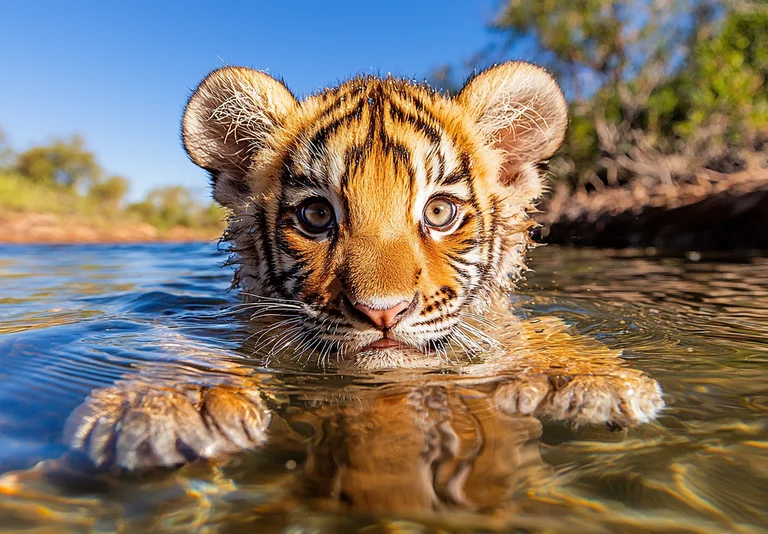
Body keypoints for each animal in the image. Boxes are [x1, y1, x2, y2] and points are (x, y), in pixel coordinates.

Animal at [63, 62, 664, 475]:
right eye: (316, 215)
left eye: (439, 212)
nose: (383, 313)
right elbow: (184, 342)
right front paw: (168, 403)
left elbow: (539, 330)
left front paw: (587, 379)